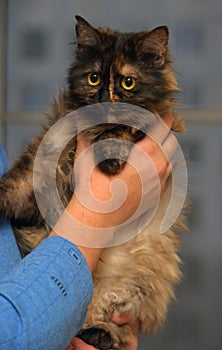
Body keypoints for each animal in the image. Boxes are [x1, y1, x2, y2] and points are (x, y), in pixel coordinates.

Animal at [0, 16, 186, 350]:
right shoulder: (46, 155)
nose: (104, 99)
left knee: (104, 324)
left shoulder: (153, 124)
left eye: (128, 83)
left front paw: (110, 157)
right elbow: (20, 181)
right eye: (94, 78)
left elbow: (123, 129)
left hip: (127, 288)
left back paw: (100, 335)